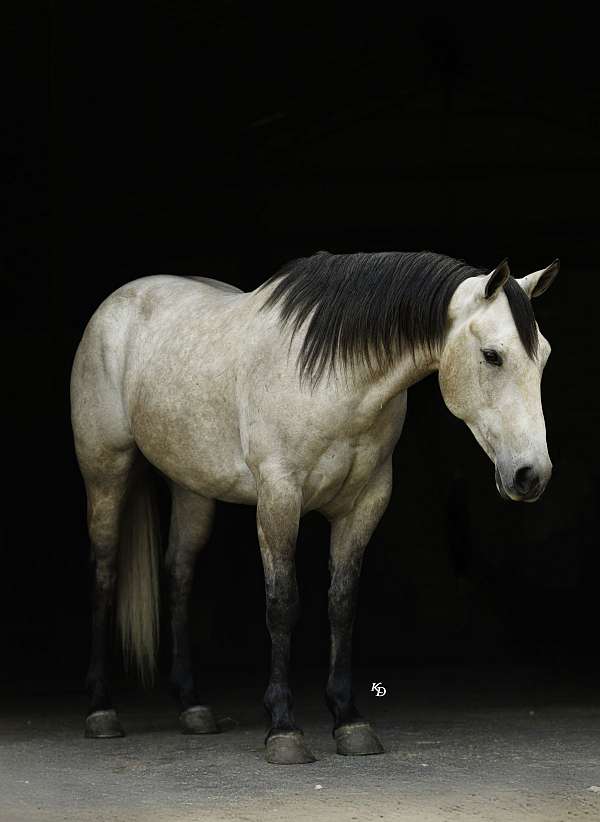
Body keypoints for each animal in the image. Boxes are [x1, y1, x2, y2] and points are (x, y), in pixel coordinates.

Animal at [70, 250, 559, 764]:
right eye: (492, 356)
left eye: (544, 357)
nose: (532, 475)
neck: (334, 378)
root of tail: (118, 303)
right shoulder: (279, 497)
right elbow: (283, 604)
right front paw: (284, 728)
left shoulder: (364, 505)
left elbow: (341, 604)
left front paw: (349, 720)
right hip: (105, 471)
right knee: (105, 572)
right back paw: (101, 710)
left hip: (191, 487)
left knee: (179, 574)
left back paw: (192, 707)